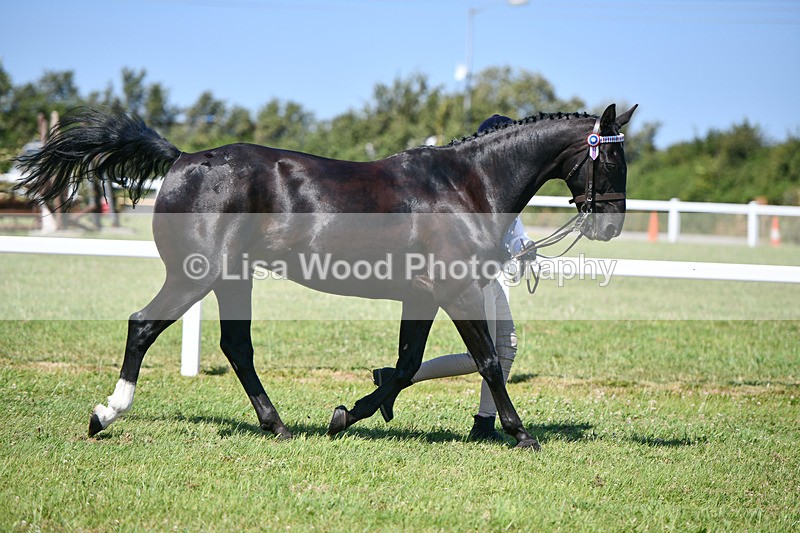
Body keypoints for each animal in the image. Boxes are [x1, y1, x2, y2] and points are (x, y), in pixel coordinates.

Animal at [16, 103, 636, 449]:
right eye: (612, 157)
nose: (609, 225)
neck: (465, 185)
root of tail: (182, 158)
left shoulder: (421, 295)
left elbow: (407, 364)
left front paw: (347, 415)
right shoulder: (455, 288)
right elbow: (484, 359)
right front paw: (521, 433)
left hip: (232, 278)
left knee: (236, 346)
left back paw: (278, 425)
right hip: (196, 276)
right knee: (143, 325)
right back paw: (105, 415)